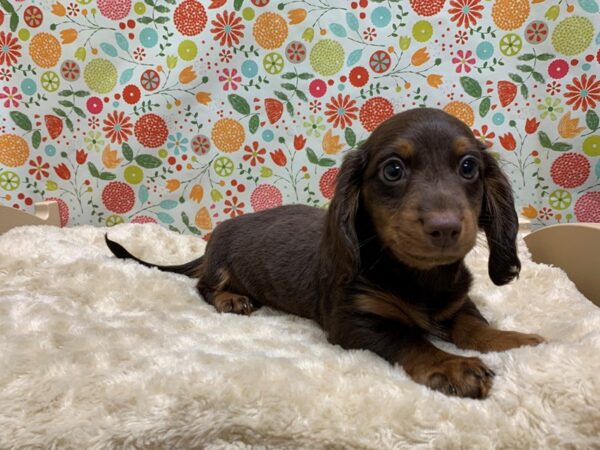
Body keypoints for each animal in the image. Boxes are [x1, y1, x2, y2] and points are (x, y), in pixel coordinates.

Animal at [106, 108, 544, 398]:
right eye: (393, 170)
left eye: (468, 166)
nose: (445, 227)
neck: (417, 275)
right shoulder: (355, 320)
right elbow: (408, 339)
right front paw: (452, 365)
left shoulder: (457, 301)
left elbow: (474, 326)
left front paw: (514, 340)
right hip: (220, 265)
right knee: (203, 286)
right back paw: (231, 298)